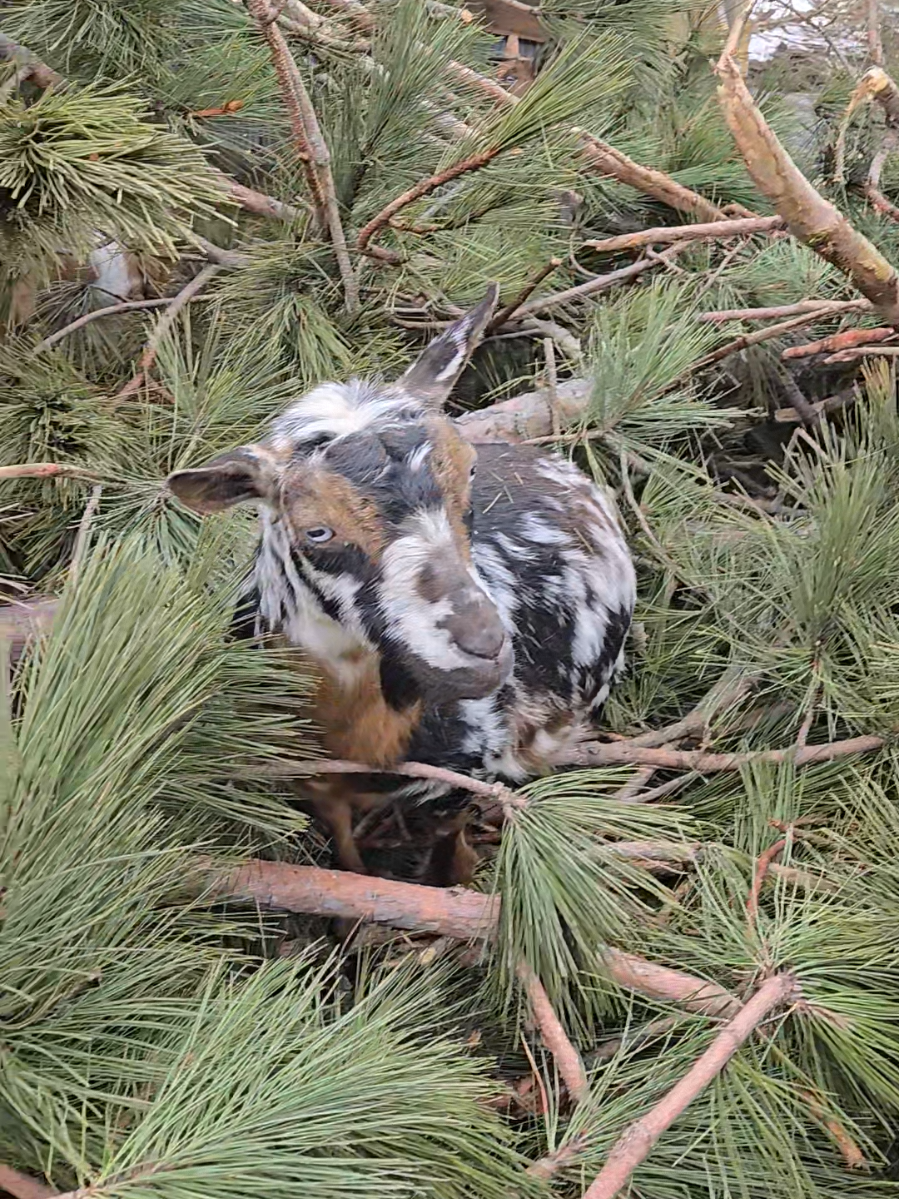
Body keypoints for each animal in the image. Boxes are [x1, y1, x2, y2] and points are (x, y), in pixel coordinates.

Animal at [166, 285, 636, 884]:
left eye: (469, 471)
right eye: (316, 529)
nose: (484, 644)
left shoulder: (464, 776)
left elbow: (443, 846)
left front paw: (453, 877)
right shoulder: (309, 782)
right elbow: (345, 859)